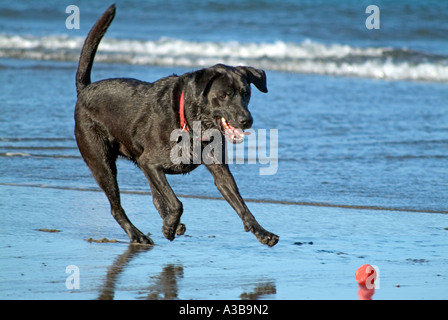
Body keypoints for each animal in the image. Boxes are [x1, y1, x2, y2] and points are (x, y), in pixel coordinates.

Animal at [74, 3, 276, 246]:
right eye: (224, 95)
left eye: (245, 93)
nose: (247, 120)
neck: (192, 122)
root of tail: (85, 90)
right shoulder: (150, 162)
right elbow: (176, 202)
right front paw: (169, 226)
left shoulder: (217, 168)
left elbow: (239, 201)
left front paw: (262, 232)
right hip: (101, 160)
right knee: (117, 206)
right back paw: (138, 234)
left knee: (155, 197)